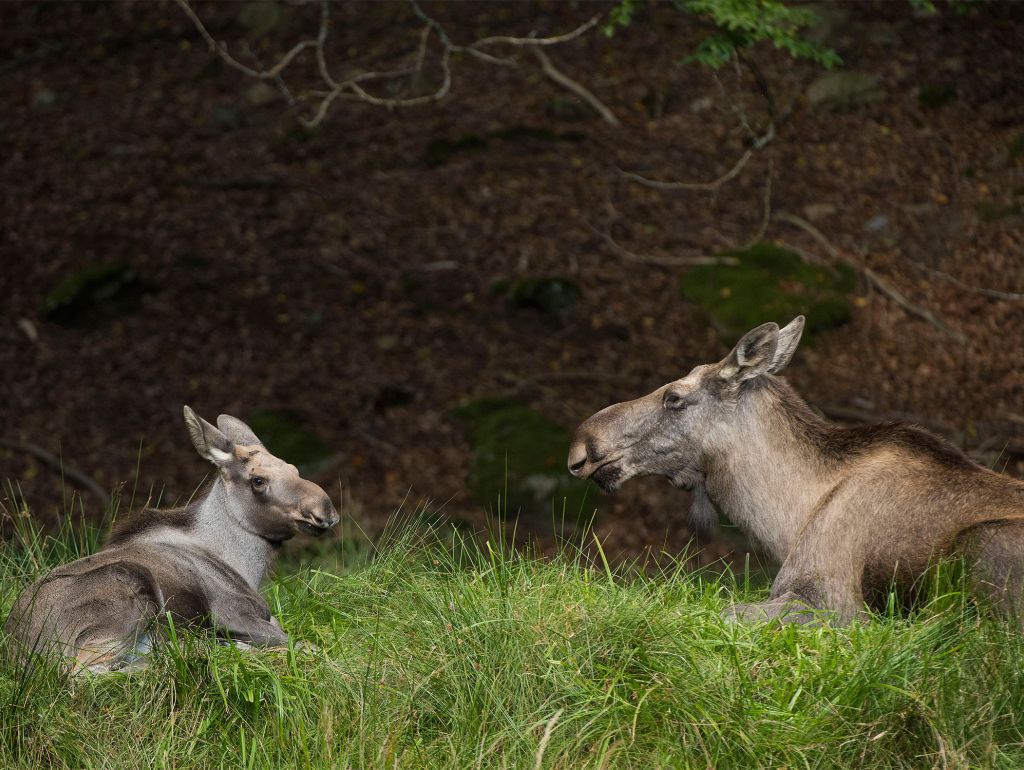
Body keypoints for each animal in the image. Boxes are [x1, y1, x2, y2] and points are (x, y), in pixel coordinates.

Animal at [6, 405, 337, 671]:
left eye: (293, 467)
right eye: (258, 480)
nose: (325, 511)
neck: (244, 564)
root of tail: (22, 653)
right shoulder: (233, 615)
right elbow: (304, 645)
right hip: (124, 593)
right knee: (85, 672)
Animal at [569, 315, 1024, 622]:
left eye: (674, 397)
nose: (581, 448)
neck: (789, 522)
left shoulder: (828, 601)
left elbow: (726, 613)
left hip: (981, 548)